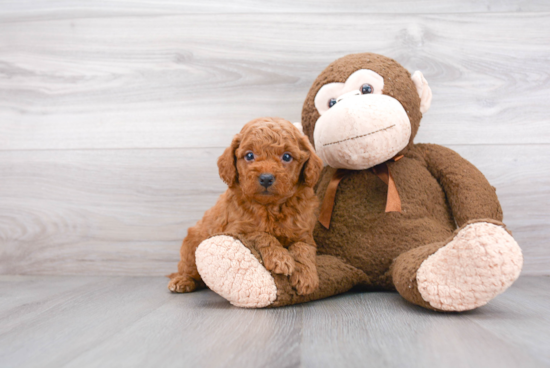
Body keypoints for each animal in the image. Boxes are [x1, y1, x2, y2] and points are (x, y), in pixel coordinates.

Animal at [168, 118, 324, 296]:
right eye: (249, 155)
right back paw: (182, 280)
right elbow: (261, 234)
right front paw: (280, 257)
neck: (270, 207)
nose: (266, 178)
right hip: (191, 247)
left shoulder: (304, 233)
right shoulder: (237, 230)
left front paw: (306, 276)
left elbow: (303, 248)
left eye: (287, 156)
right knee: (189, 270)